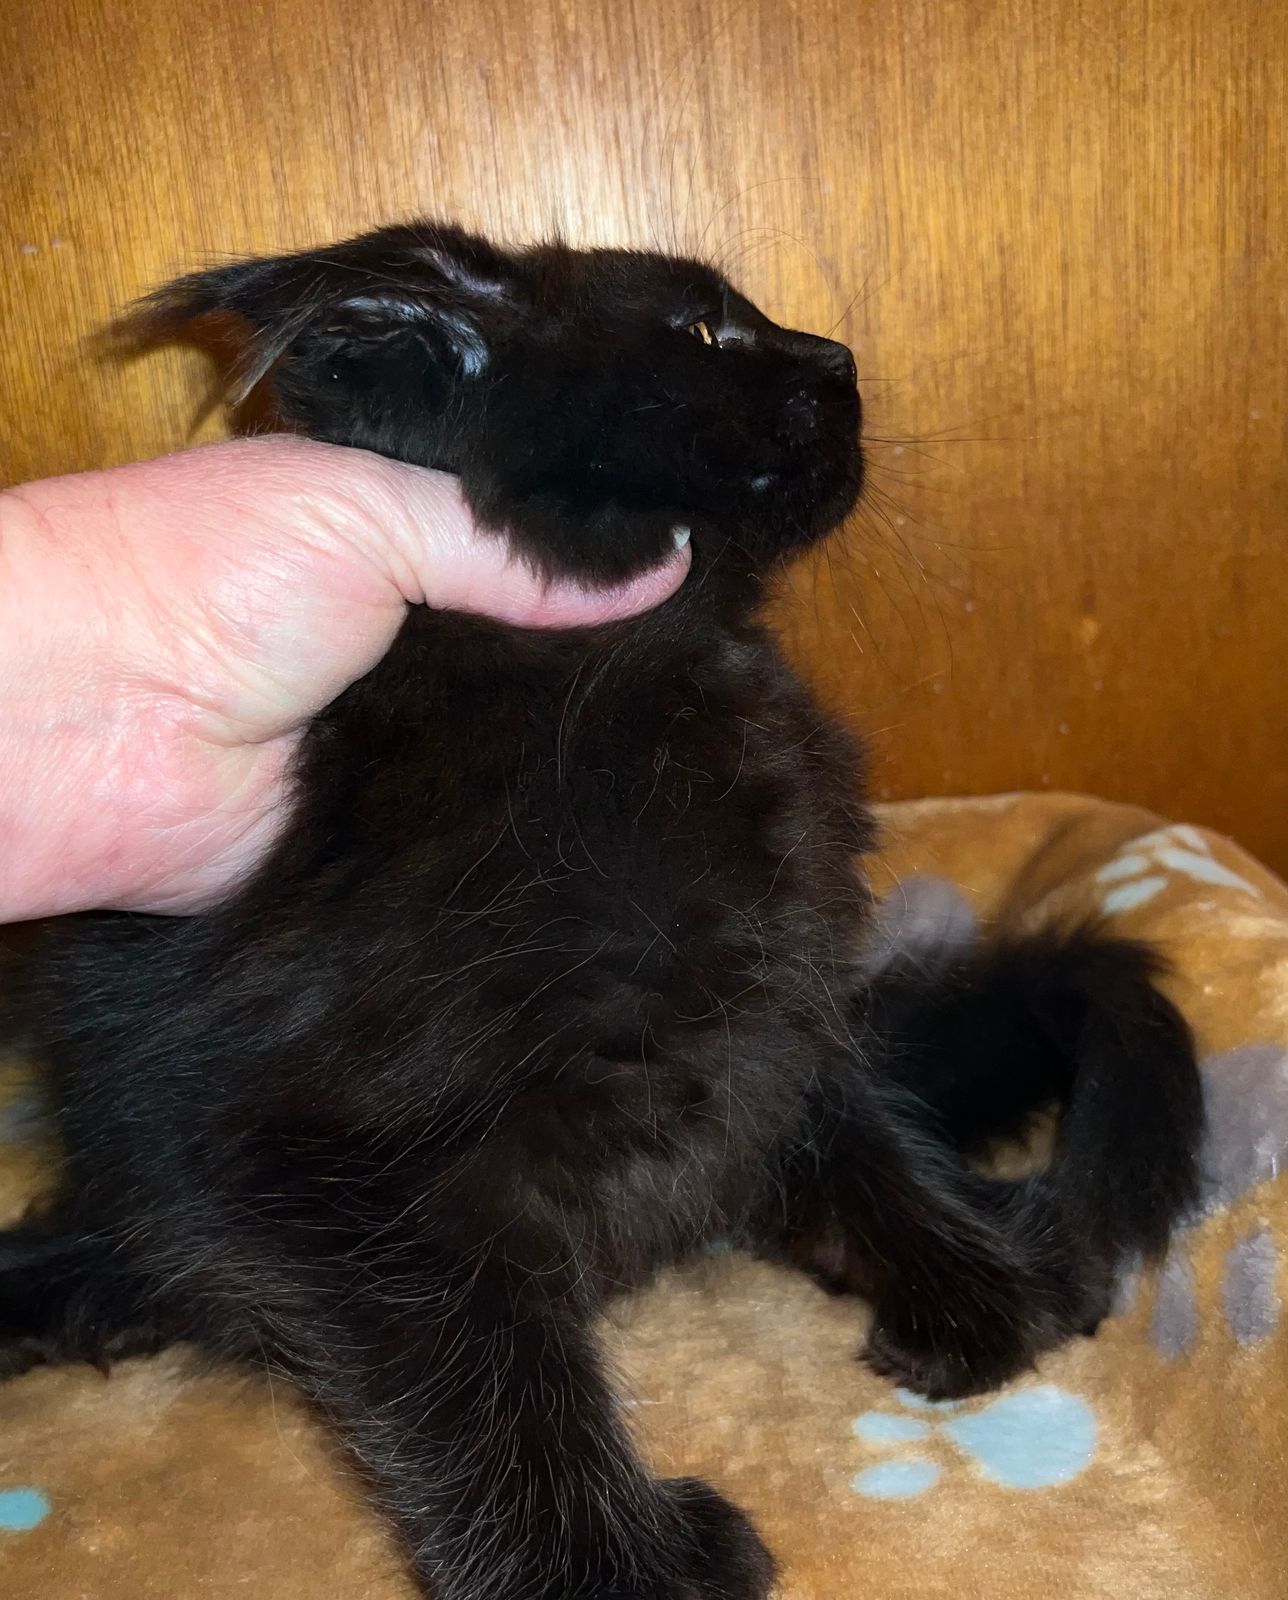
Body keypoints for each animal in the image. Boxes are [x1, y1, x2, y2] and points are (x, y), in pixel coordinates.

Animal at [0, 222, 1204, 1599]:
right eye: (701, 331)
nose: (839, 354)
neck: (653, 668)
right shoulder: (305, 1156)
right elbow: (483, 1368)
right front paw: (604, 1568)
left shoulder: (774, 1007)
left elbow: (865, 1137)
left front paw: (987, 1290)